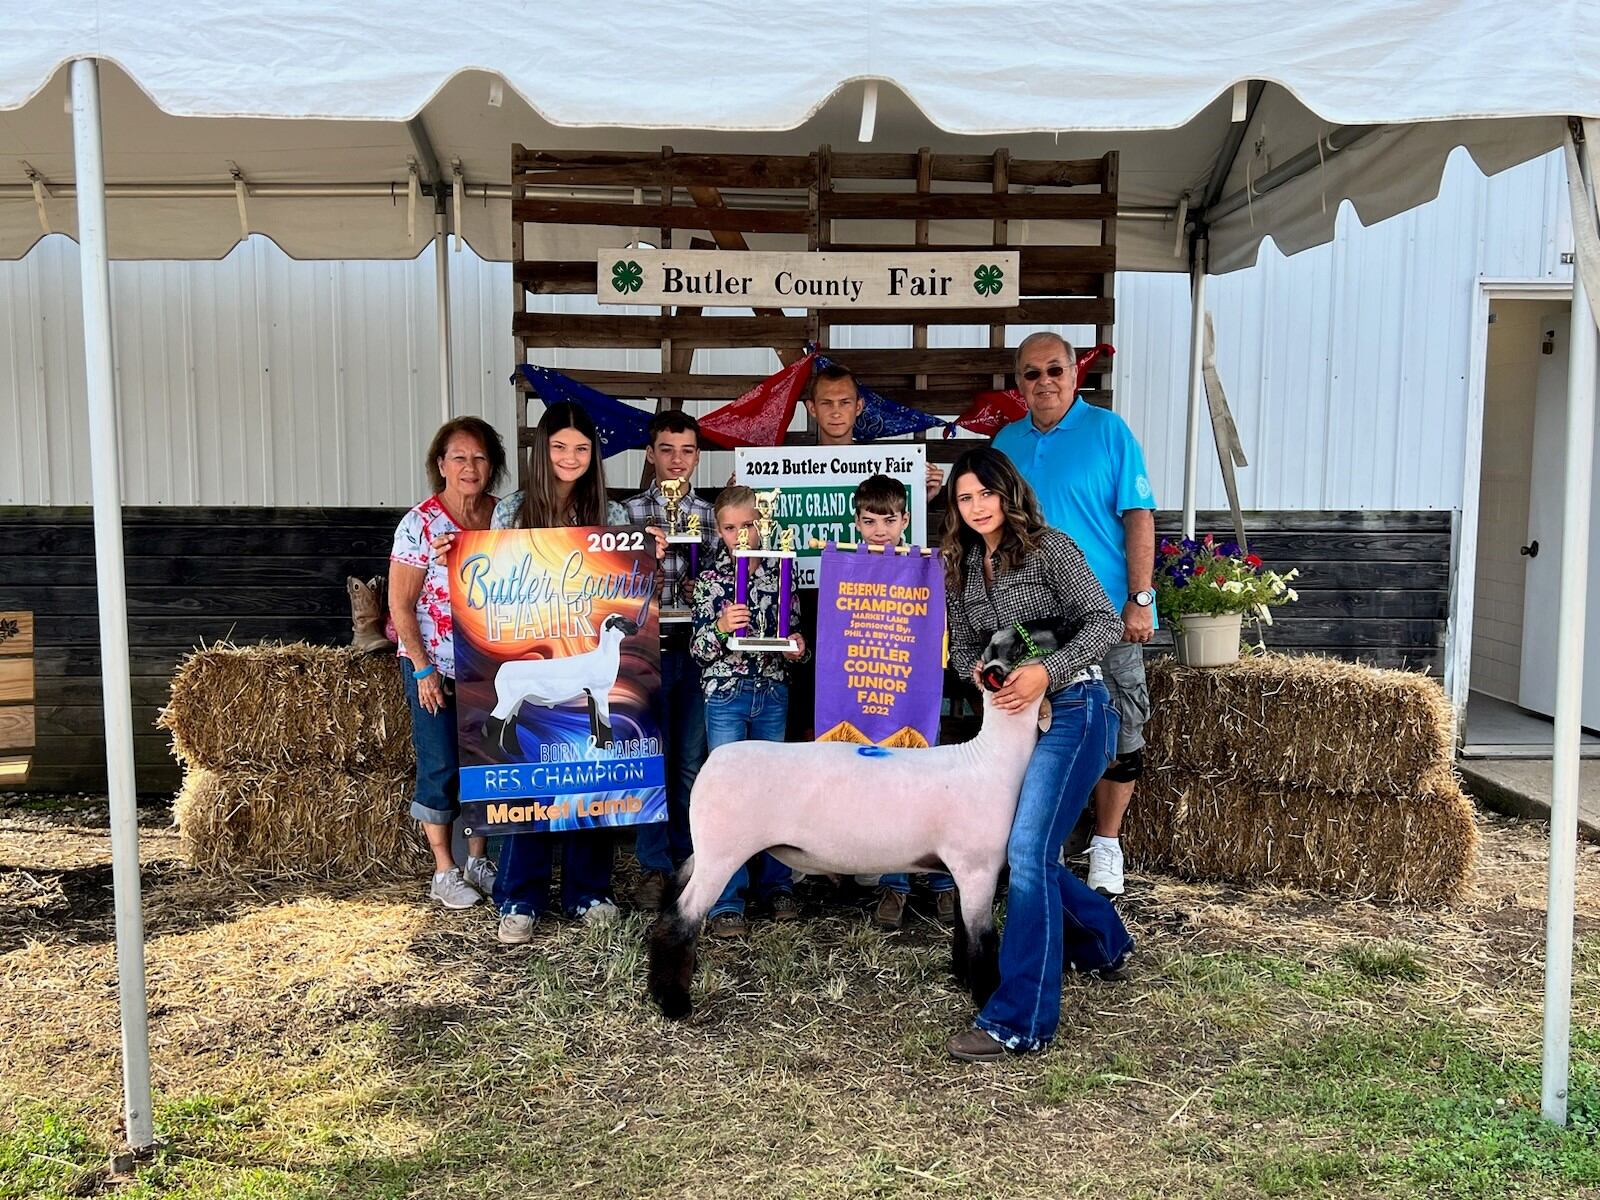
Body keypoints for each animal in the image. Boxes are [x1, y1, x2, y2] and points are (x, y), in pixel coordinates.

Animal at [480, 614, 636, 755]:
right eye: (620, 621)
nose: (636, 627)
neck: (603, 656)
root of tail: (502, 669)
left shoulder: (591, 693)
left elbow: (594, 718)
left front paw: (600, 746)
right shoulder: (600, 691)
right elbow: (604, 721)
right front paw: (608, 747)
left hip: (516, 701)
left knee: (509, 723)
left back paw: (515, 752)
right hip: (507, 699)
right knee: (493, 723)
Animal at [643, 620, 1068, 1024]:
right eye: (1022, 642)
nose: (1066, 623)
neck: (990, 760)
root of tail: (712, 763)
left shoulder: (967, 872)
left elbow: (964, 931)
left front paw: (963, 978)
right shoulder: (977, 867)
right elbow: (983, 939)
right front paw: (986, 993)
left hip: (709, 848)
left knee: (676, 891)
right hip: (723, 853)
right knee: (679, 920)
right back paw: (673, 1002)